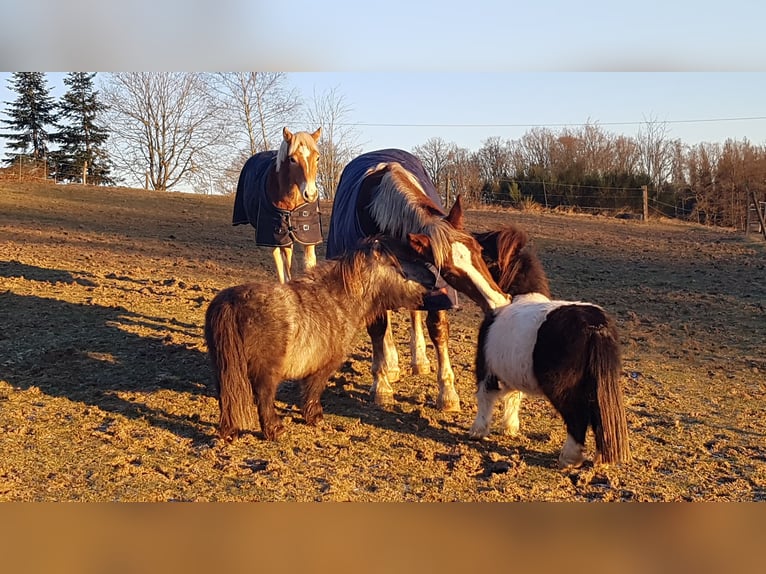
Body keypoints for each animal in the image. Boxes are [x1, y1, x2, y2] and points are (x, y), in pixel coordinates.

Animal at [231, 128, 320, 286]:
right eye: (292, 159)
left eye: (317, 158)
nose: (310, 194)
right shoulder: (279, 235)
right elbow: (288, 266)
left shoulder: (308, 235)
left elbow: (309, 264)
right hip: (271, 236)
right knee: (279, 259)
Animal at [326, 150, 510, 414]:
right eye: (450, 271)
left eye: (479, 249)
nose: (498, 302)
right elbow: (377, 329)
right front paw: (381, 386)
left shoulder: (437, 290)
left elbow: (438, 330)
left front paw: (448, 394)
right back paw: (391, 365)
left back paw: (418, 361)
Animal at [468, 225, 632, 468]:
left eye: (483, 254)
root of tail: (595, 325)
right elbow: (513, 397)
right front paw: (510, 428)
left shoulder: (486, 368)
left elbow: (485, 398)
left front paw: (478, 431)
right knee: (598, 417)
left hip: (562, 390)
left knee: (578, 418)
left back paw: (569, 458)